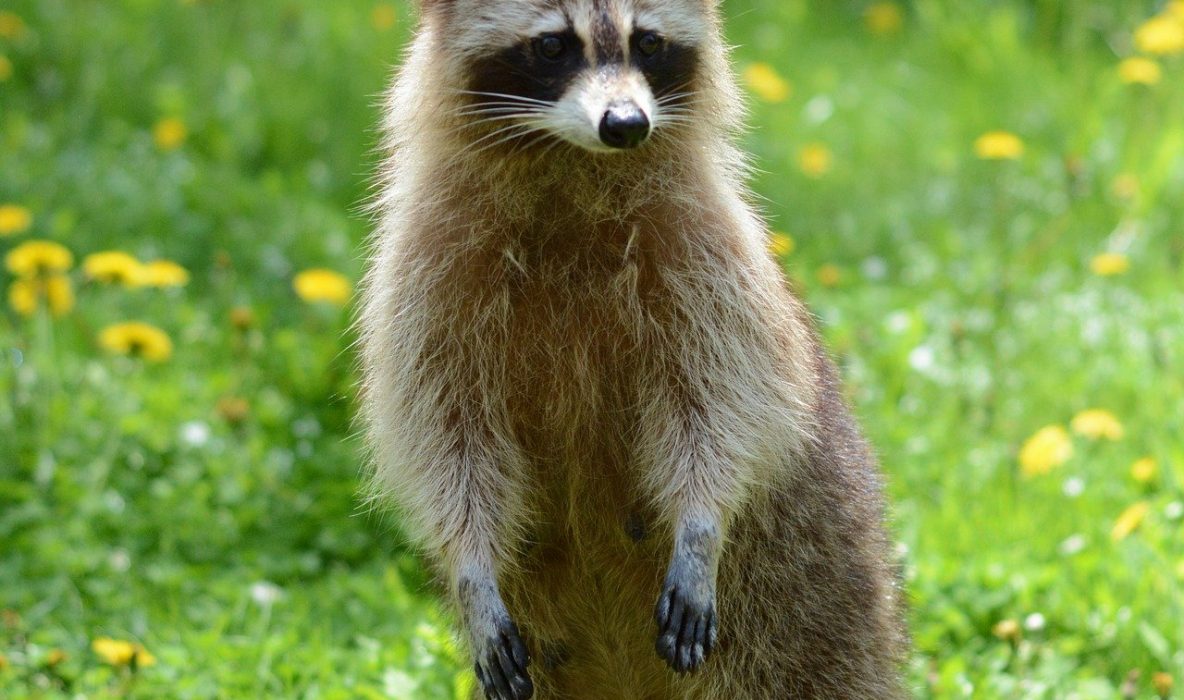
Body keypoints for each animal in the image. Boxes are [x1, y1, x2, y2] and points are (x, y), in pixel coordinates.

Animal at [359, 1, 904, 700]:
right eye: (553, 46)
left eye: (647, 42)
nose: (626, 124)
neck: (569, 163)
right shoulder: (427, 273)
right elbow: (444, 435)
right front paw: (469, 565)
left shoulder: (706, 251)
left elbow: (725, 398)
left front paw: (701, 524)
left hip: (809, 591)